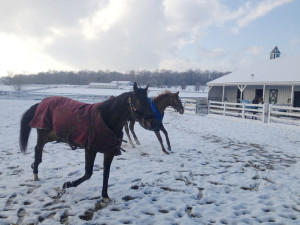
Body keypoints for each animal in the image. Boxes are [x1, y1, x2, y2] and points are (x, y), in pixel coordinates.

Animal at [19, 82, 158, 199]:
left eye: (149, 101)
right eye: (139, 101)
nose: (153, 123)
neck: (107, 119)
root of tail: (40, 104)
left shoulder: (109, 152)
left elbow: (106, 172)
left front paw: (105, 195)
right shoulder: (90, 149)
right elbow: (88, 173)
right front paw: (67, 184)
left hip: (52, 136)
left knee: (38, 150)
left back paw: (35, 166)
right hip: (42, 134)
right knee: (38, 149)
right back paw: (35, 173)